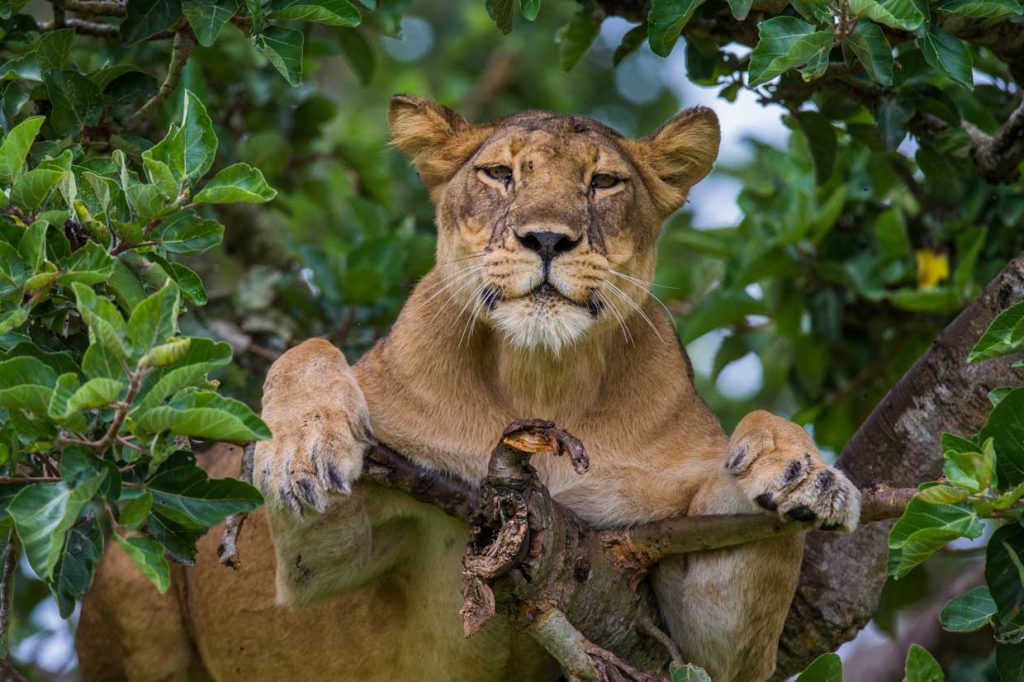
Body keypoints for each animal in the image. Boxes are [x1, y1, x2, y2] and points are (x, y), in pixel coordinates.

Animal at [76, 96, 860, 682]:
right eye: (499, 174)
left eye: (604, 184)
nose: (547, 239)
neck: (542, 378)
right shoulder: (319, 560)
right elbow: (309, 353)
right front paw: (303, 448)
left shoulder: (688, 628)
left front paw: (806, 475)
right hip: (126, 575)